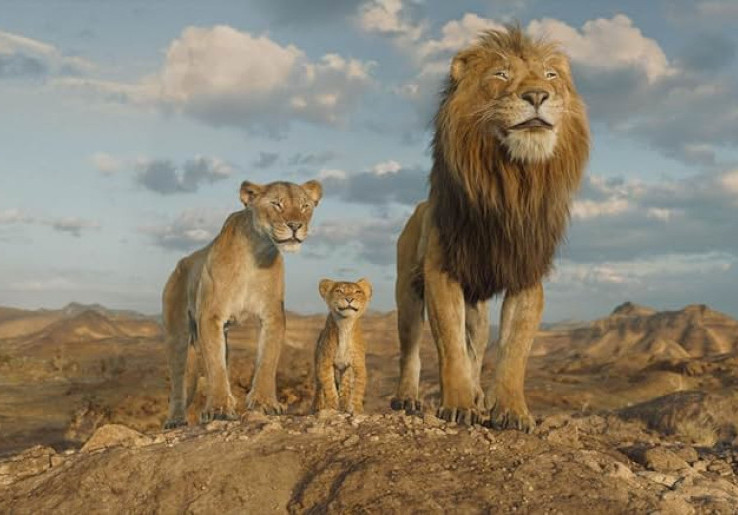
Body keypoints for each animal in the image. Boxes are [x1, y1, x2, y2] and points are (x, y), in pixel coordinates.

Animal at [162, 179, 322, 428]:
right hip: (177, 333)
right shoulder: (210, 316)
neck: (256, 253)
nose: (296, 225)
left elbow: (267, 359)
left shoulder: (272, 314)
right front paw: (218, 408)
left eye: (305, 206)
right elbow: (215, 366)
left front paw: (265, 402)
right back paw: (176, 419)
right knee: (179, 377)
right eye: (277, 204)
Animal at [312, 278, 372, 414]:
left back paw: (344, 404)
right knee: (319, 386)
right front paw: (332, 406)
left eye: (357, 291)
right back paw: (318, 406)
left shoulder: (358, 364)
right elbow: (328, 385)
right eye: (339, 291)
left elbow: (358, 387)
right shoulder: (324, 362)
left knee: (345, 386)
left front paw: (356, 408)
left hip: (346, 369)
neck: (345, 325)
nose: (349, 299)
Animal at [390, 26, 589, 431]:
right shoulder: (441, 271)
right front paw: (458, 405)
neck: (511, 182)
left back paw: (480, 395)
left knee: (477, 347)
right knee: (411, 348)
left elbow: (514, 351)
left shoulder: (526, 275)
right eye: (500, 74)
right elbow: (450, 346)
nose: (537, 96)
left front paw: (511, 411)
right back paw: (408, 398)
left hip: (477, 308)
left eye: (550, 76)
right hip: (407, 291)